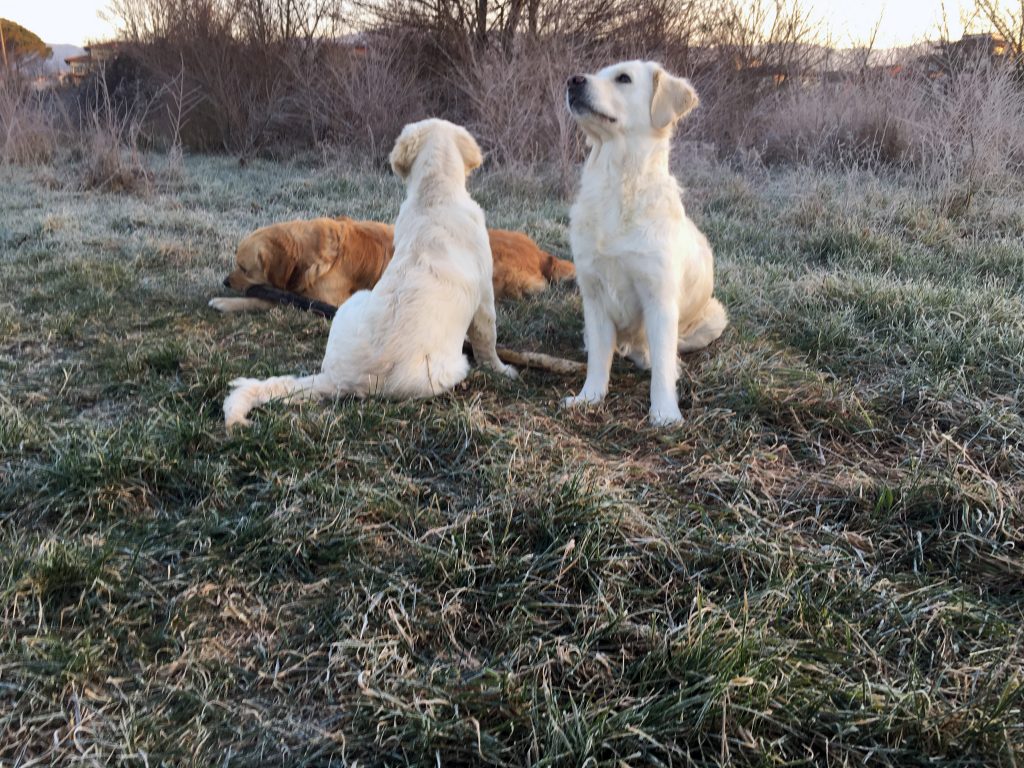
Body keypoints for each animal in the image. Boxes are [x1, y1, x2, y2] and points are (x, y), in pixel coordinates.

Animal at [209, 214, 577, 313]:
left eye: (244, 268)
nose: (225, 282)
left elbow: (267, 298)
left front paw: (225, 302)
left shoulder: (328, 300)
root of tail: (541, 254)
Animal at [221, 122, 516, 430]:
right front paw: (503, 369)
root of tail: (336, 378)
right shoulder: (484, 297)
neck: (435, 196)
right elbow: (487, 340)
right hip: (450, 366)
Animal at [561, 58, 729, 428]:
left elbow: (663, 367)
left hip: (713, 317)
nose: (572, 81)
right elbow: (598, 360)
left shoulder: (659, 297)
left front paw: (665, 413)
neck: (616, 182)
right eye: (597, 72)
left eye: (623, 78)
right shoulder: (593, 294)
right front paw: (588, 398)